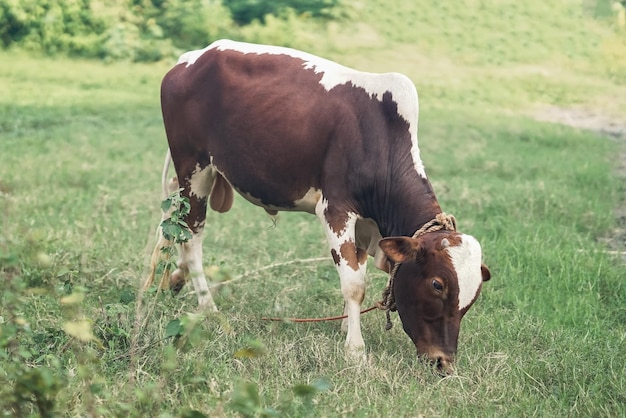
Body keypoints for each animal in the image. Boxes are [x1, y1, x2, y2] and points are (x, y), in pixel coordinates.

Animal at [146, 39, 488, 372]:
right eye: (437, 285)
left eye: (473, 297)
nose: (443, 361)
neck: (380, 139)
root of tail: (194, 56)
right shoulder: (336, 210)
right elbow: (354, 284)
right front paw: (355, 349)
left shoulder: (364, 225)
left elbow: (358, 270)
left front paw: (346, 328)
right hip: (194, 168)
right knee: (192, 237)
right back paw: (208, 307)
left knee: (172, 221)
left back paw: (166, 281)